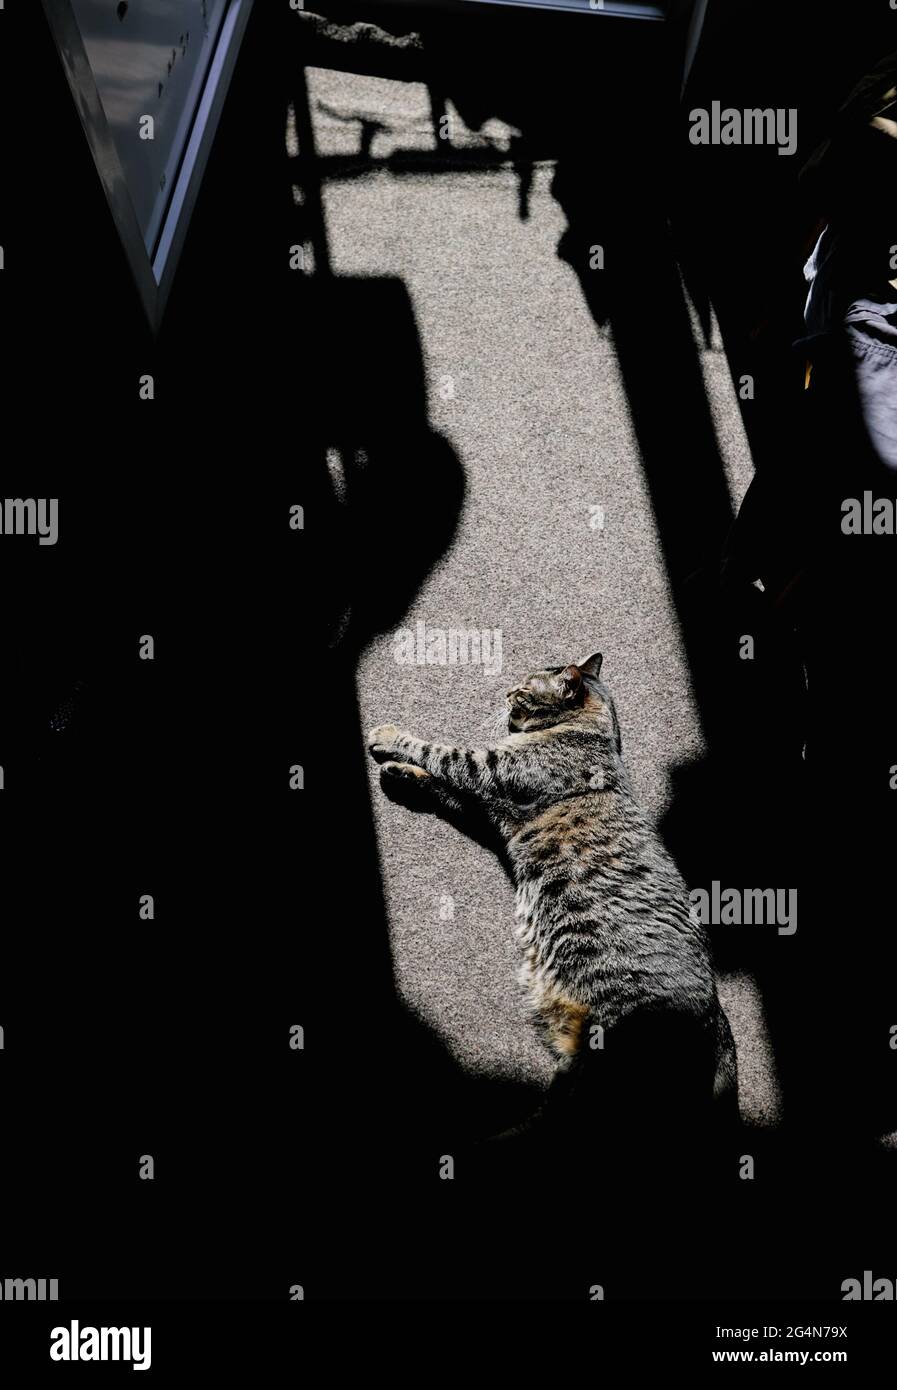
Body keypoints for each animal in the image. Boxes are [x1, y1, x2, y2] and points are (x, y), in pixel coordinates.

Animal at [367, 650, 739, 1128]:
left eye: (524, 690)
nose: (506, 691)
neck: (589, 732)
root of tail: (718, 1022)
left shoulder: (490, 769)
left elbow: (441, 752)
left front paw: (389, 738)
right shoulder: (488, 807)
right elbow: (436, 780)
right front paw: (400, 772)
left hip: (603, 1064)